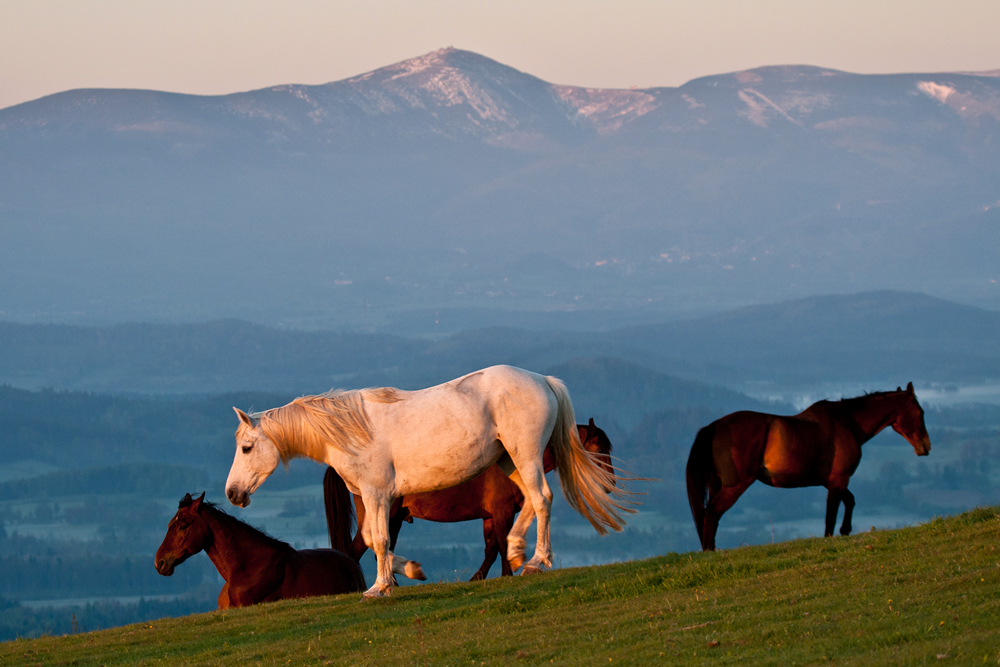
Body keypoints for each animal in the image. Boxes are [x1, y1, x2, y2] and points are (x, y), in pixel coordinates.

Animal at [324, 418, 612, 580]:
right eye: (600, 448)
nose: (610, 484)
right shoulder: (502, 511)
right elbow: (502, 545)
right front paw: (507, 574)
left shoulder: (490, 516)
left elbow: (491, 550)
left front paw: (479, 577)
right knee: (356, 551)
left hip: (394, 519)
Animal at [688, 384, 928, 552]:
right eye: (920, 413)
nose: (925, 446)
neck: (847, 423)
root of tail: (714, 427)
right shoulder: (838, 480)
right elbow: (831, 516)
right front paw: (835, 534)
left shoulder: (831, 481)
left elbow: (849, 500)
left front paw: (845, 530)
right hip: (734, 486)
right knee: (711, 514)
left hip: (718, 485)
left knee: (711, 516)